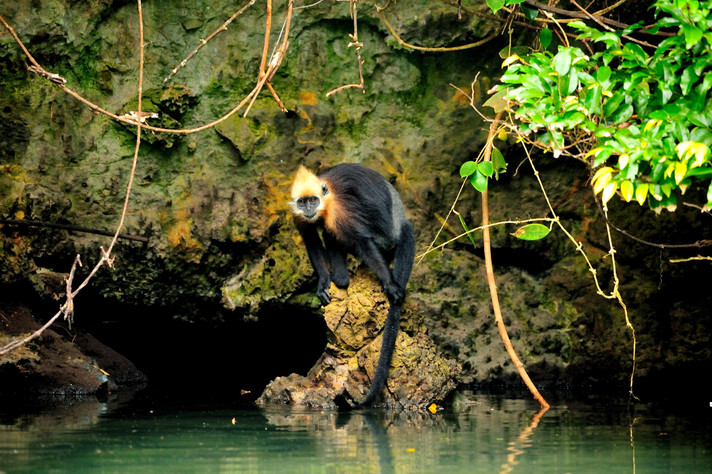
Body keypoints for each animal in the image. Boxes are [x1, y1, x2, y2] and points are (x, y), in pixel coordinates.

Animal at [288, 164, 414, 408]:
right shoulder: (301, 218)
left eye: (313, 200)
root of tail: (402, 223)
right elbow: (311, 239)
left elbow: (362, 240)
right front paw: (323, 283)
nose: (308, 208)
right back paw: (341, 279)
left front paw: (390, 284)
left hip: (386, 238)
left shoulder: (340, 212)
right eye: (303, 201)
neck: (325, 203)